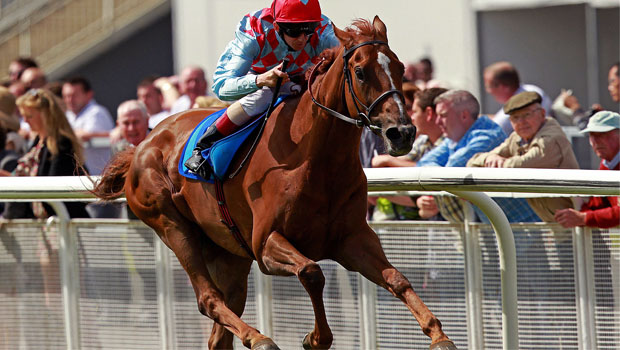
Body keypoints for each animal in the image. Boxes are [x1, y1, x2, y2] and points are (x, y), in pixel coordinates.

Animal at [95, 17, 456, 350]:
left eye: (400, 68)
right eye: (361, 72)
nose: (402, 132)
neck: (315, 159)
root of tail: (142, 145)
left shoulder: (352, 238)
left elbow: (396, 278)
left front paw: (438, 335)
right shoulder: (266, 243)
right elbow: (312, 272)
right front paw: (315, 338)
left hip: (229, 254)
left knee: (219, 331)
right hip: (173, 227)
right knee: (208, 299)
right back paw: (258, 337)